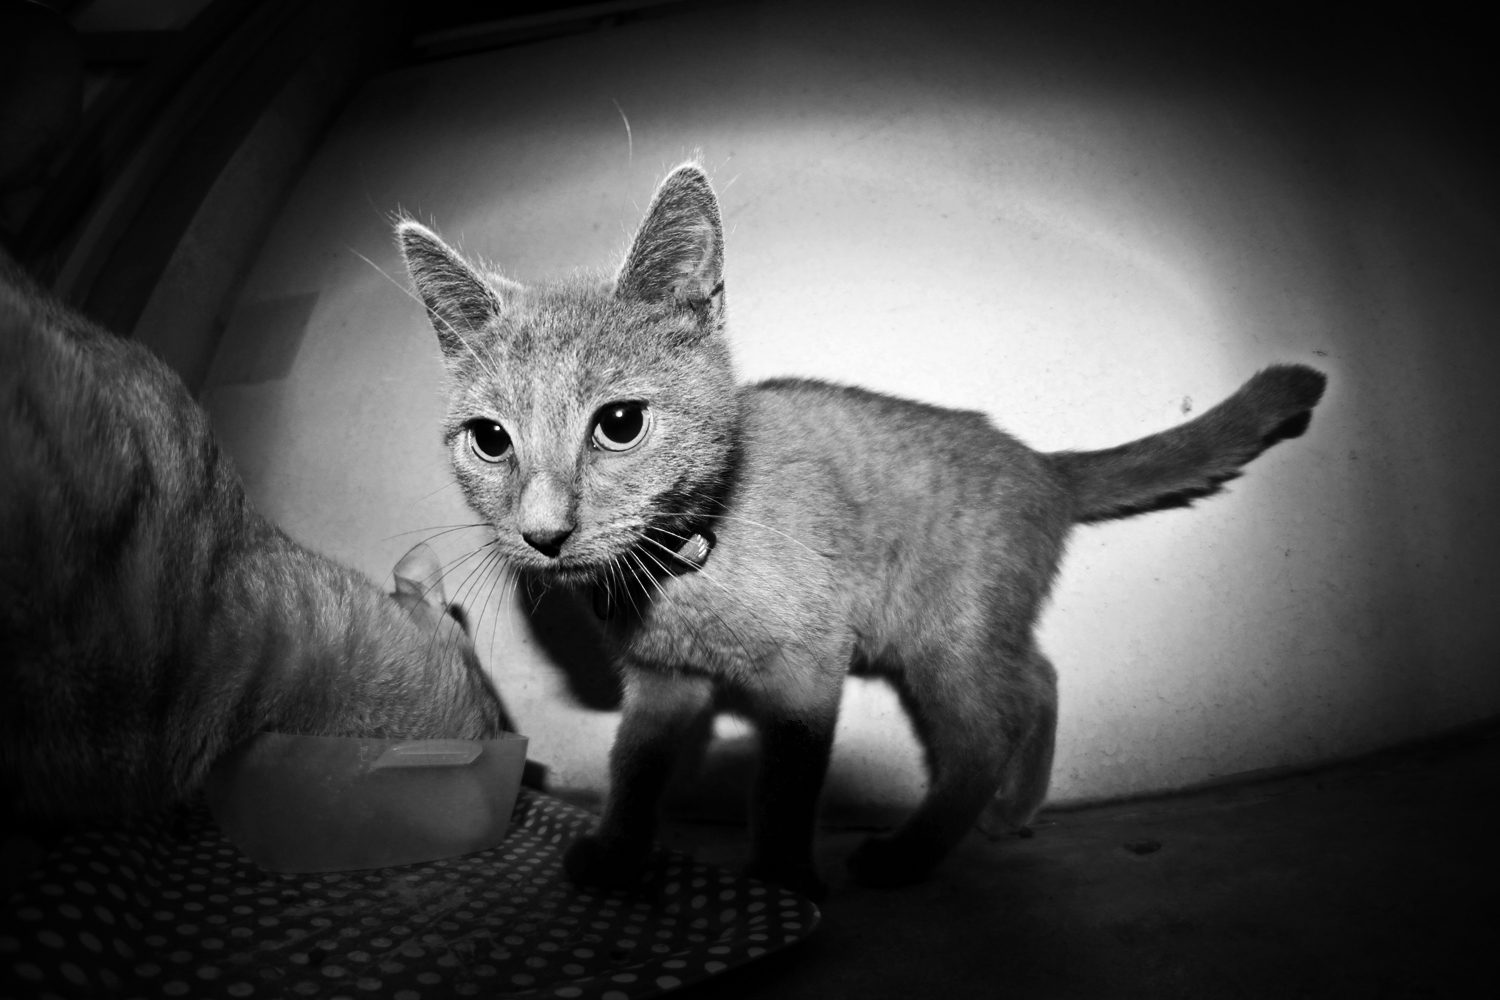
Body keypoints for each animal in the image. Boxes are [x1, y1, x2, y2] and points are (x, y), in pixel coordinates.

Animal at [397, 162, 1326, 900]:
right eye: (490, 440)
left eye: (619, 424)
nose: (543, 532)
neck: (685, 571)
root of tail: (1043, 462)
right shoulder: (665, 683)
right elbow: (633, 763)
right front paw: (619, 851)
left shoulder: (808, 669)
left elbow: (785, 781)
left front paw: (779, 877)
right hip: (969, 630)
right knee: (1039, 676)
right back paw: (1012, 809)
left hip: (946, 631)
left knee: (988, 726)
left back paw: (912, 850)